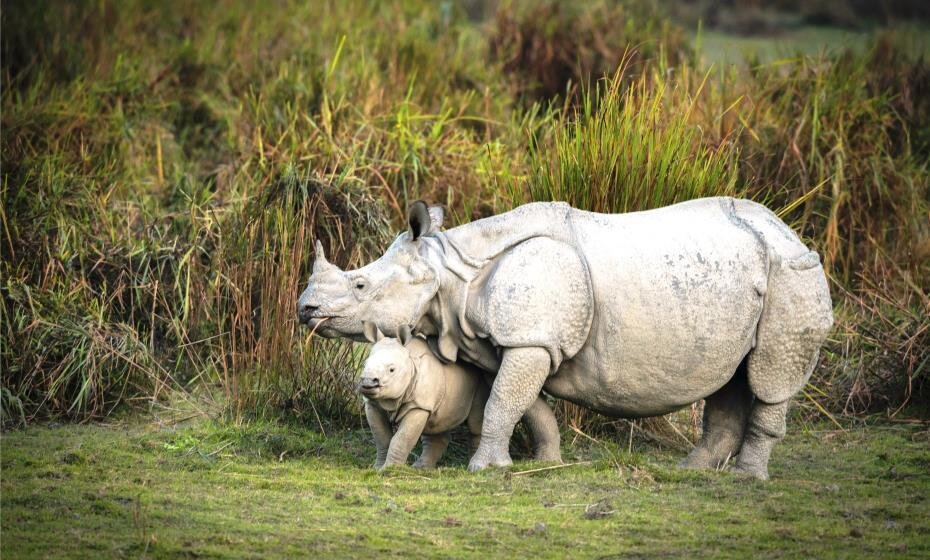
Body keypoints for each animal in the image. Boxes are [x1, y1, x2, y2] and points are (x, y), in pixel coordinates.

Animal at [356, 322, 490, 470]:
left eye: (392, 370)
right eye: (364, 364)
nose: (367, 382)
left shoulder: (418, 405)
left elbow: (401, 439)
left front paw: (389, 469)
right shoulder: (372, 403)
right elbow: (381, 437)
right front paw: (377, 467)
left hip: (481, 380)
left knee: (475, 423)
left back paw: (472, 466)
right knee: (435, 425)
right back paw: (422, 468)